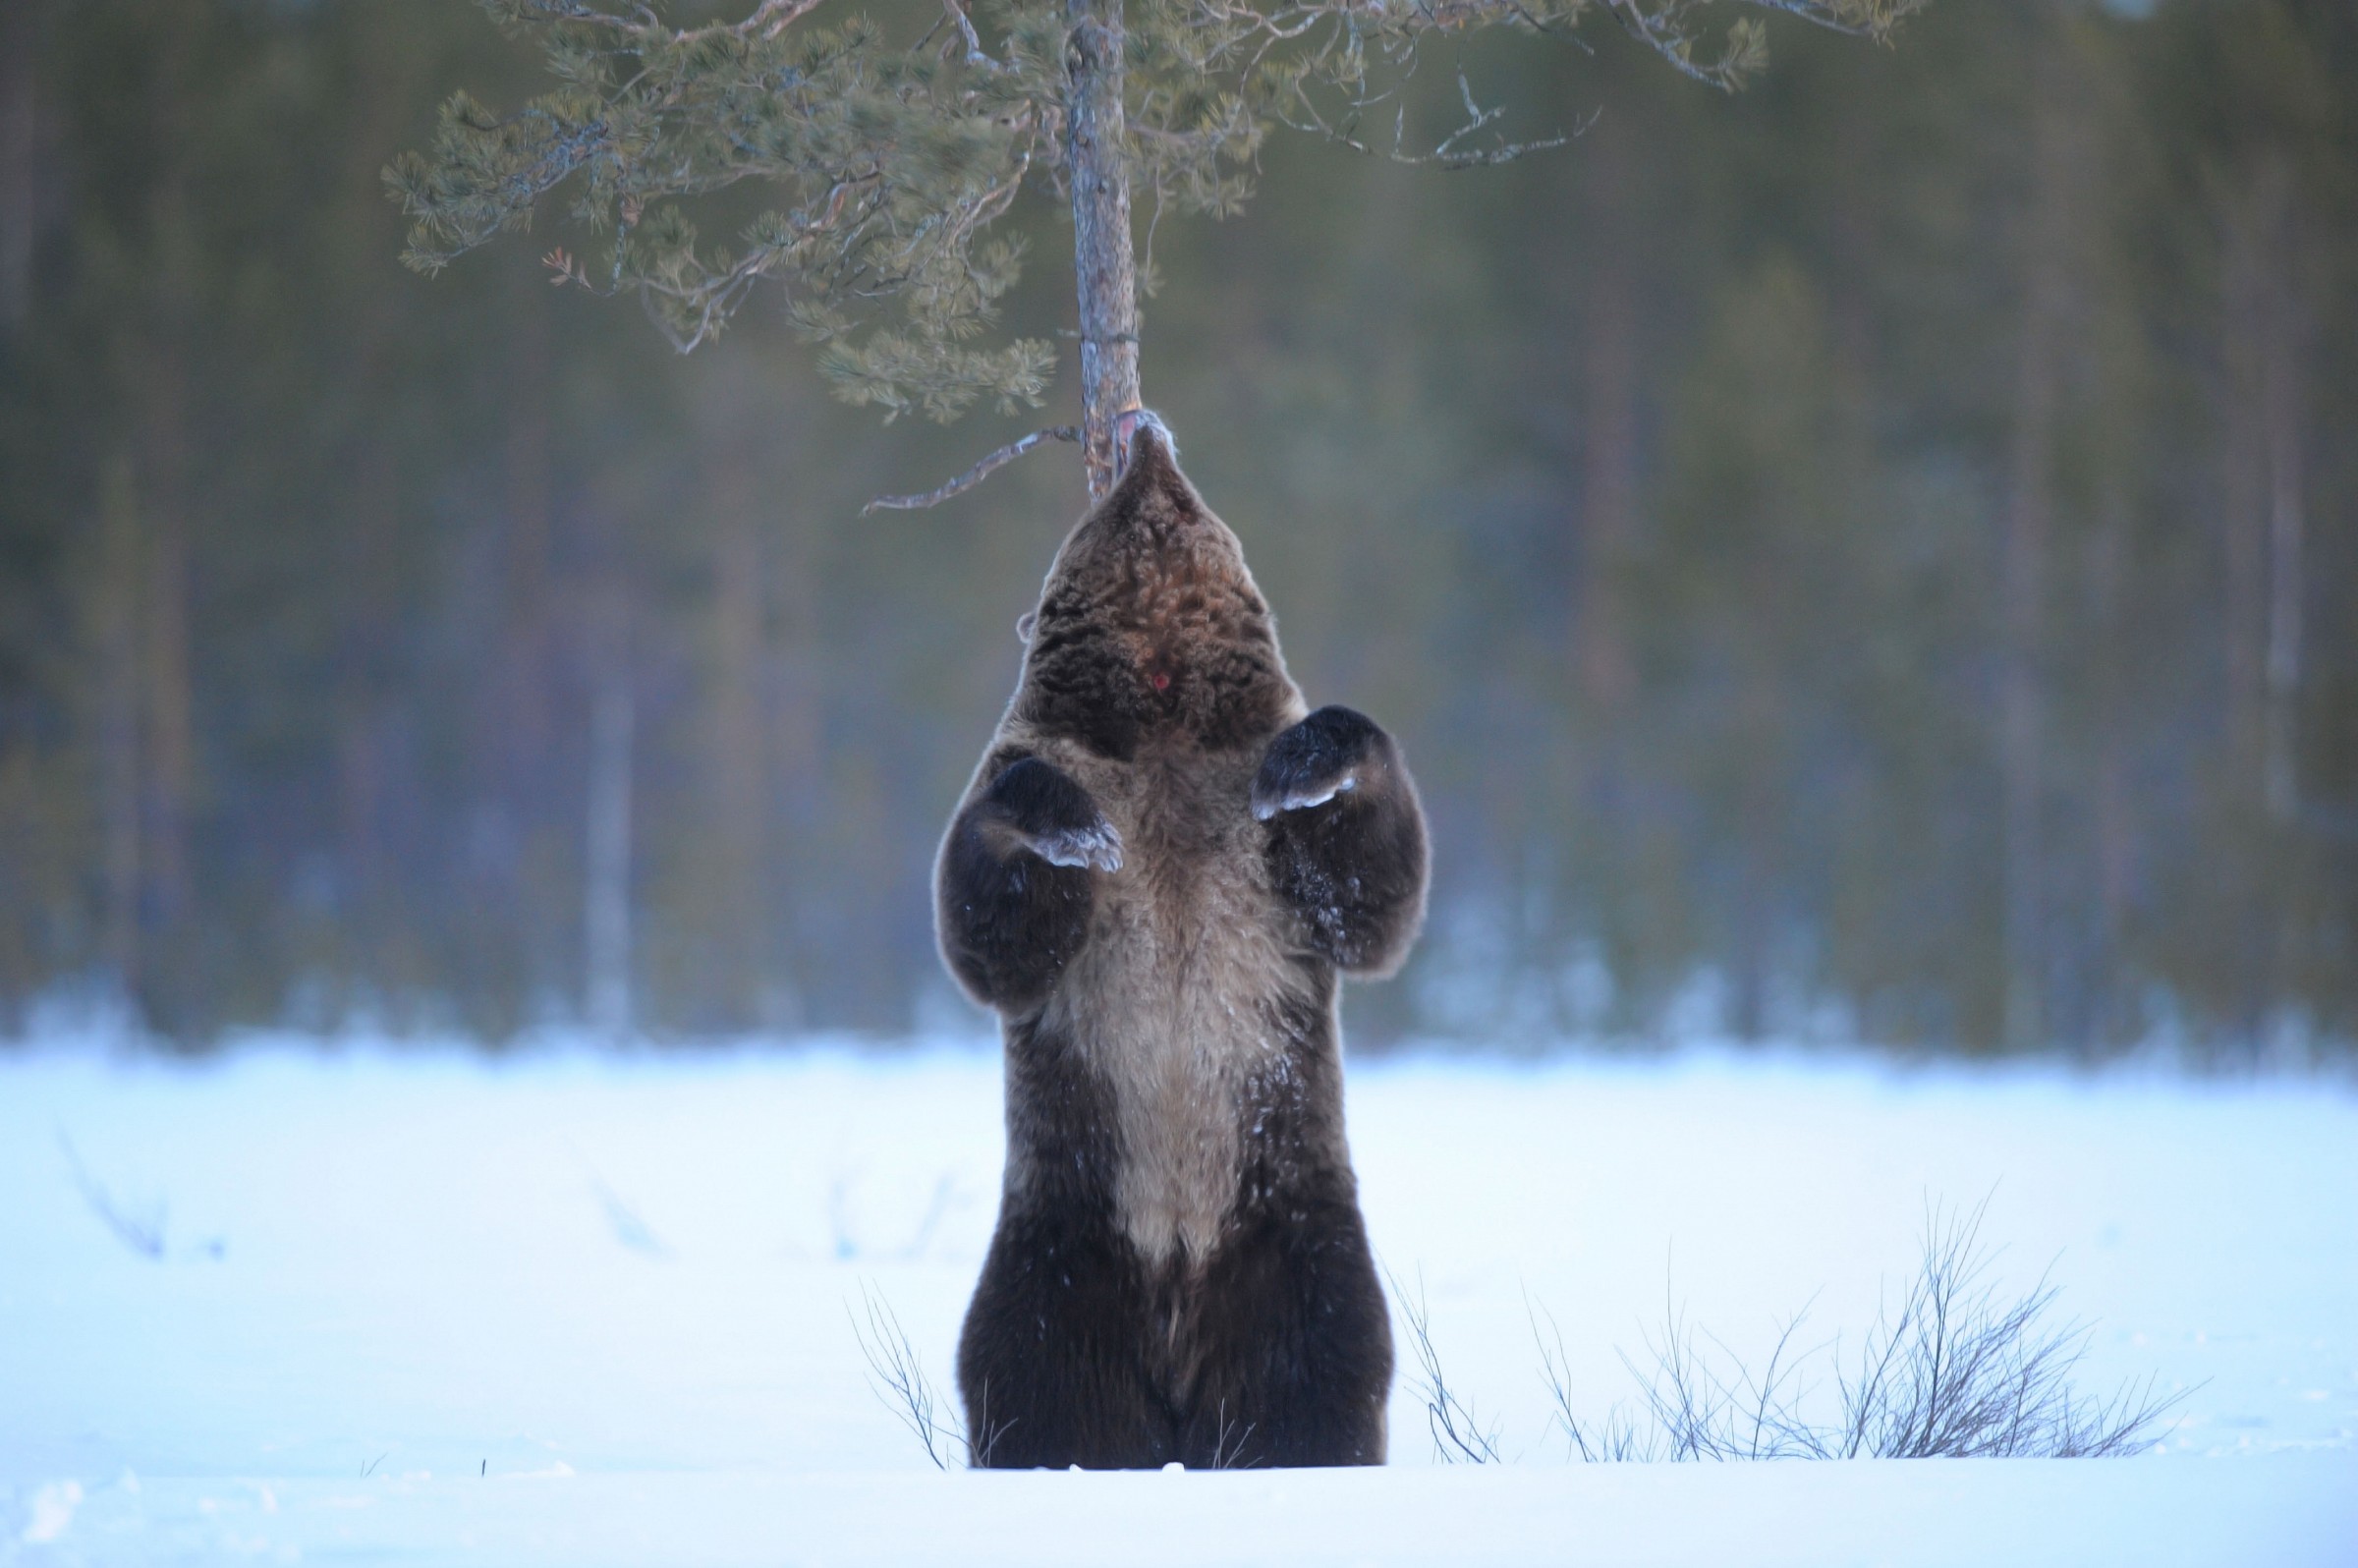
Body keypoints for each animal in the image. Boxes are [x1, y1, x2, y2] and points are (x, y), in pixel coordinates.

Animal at [935, 414, 1428, 1469]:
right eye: (1123, 501)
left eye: (1192, 489)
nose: (1147, 431)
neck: (1160, 708)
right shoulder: (1035, 758)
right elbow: (991, 936)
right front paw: (1076, 832)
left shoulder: (1250, 818)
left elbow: (1370, 904)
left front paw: (1310, 767)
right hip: (1062, 1246)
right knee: (1029, 1373)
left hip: (1291, 1232)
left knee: (1321, 1366)